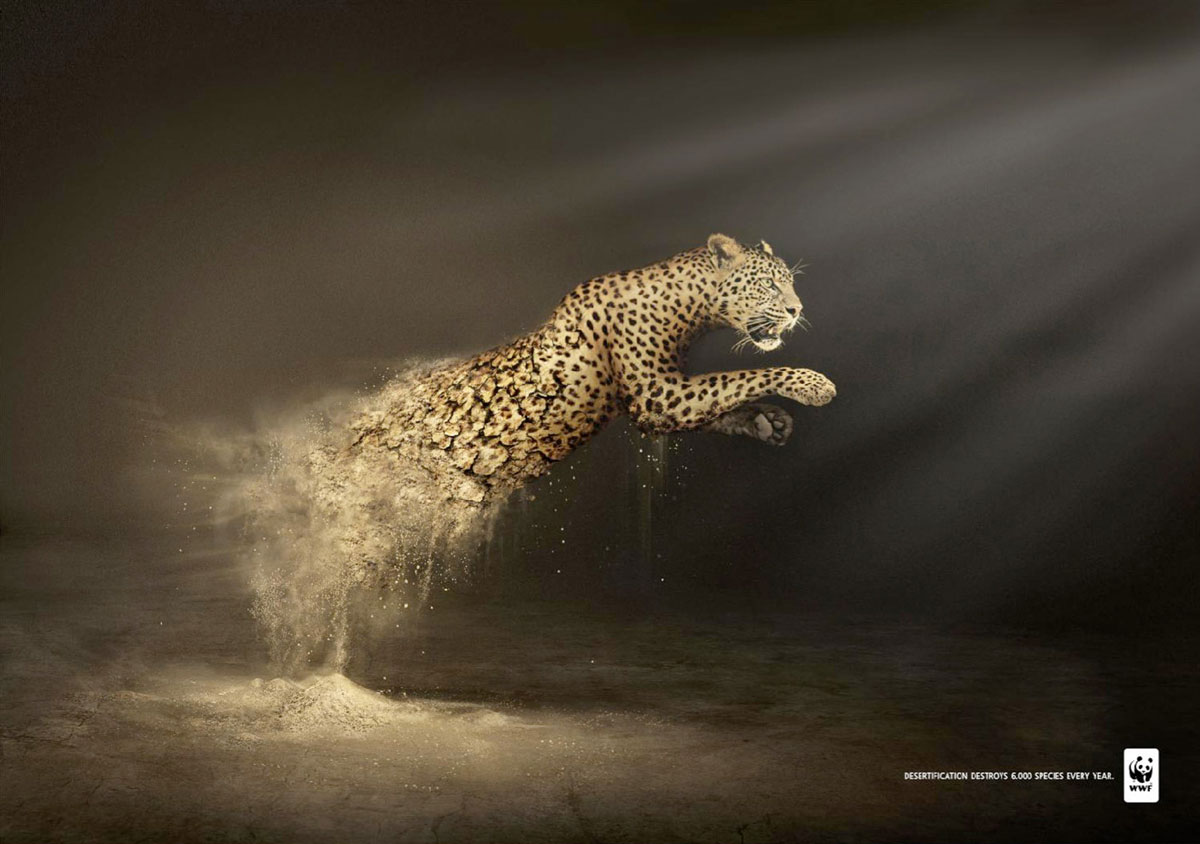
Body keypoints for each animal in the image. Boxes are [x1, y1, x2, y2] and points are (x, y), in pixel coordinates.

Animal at [350, 233, 836, 507]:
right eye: (769, 283)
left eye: (789, 282)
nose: (797, 310)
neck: (686, 308)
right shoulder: (657, 394)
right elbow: (738, 378)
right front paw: (812, 385)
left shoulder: (660, 398)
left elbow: (721, 401)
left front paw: (766, 421)